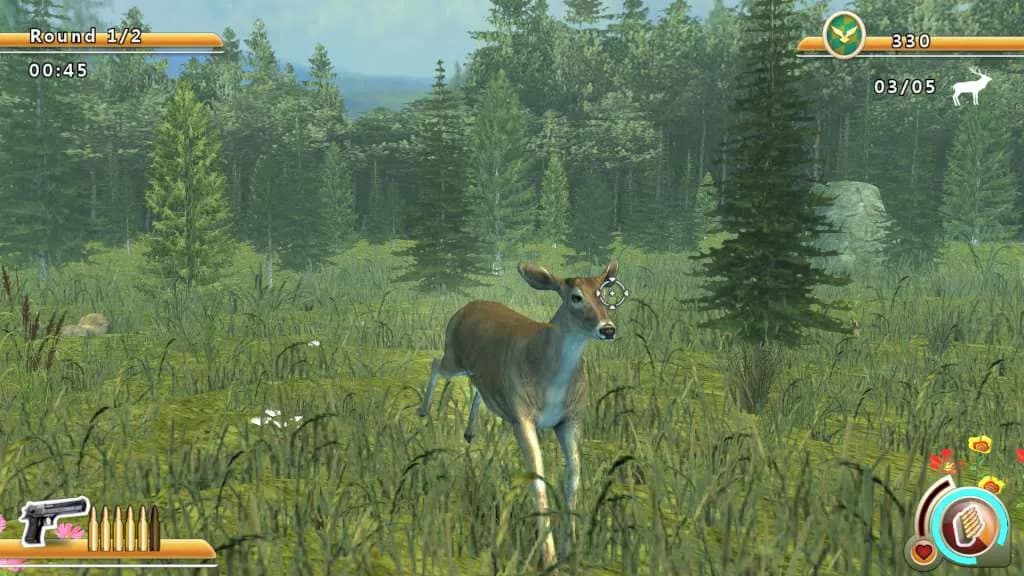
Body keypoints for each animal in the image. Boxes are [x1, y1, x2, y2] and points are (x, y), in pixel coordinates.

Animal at [418, 261, 619, 569]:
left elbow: (574, 474)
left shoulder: (571, 419)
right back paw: (422, 410)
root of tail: (466, 306)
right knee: (434, 364)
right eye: (575, 297)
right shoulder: (523, 417)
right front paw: (547, 557)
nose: (607, 329)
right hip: (453, 355)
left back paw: (469, 432)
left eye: (605, 294)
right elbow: (537, 475)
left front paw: (570, 550)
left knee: (478, 389)